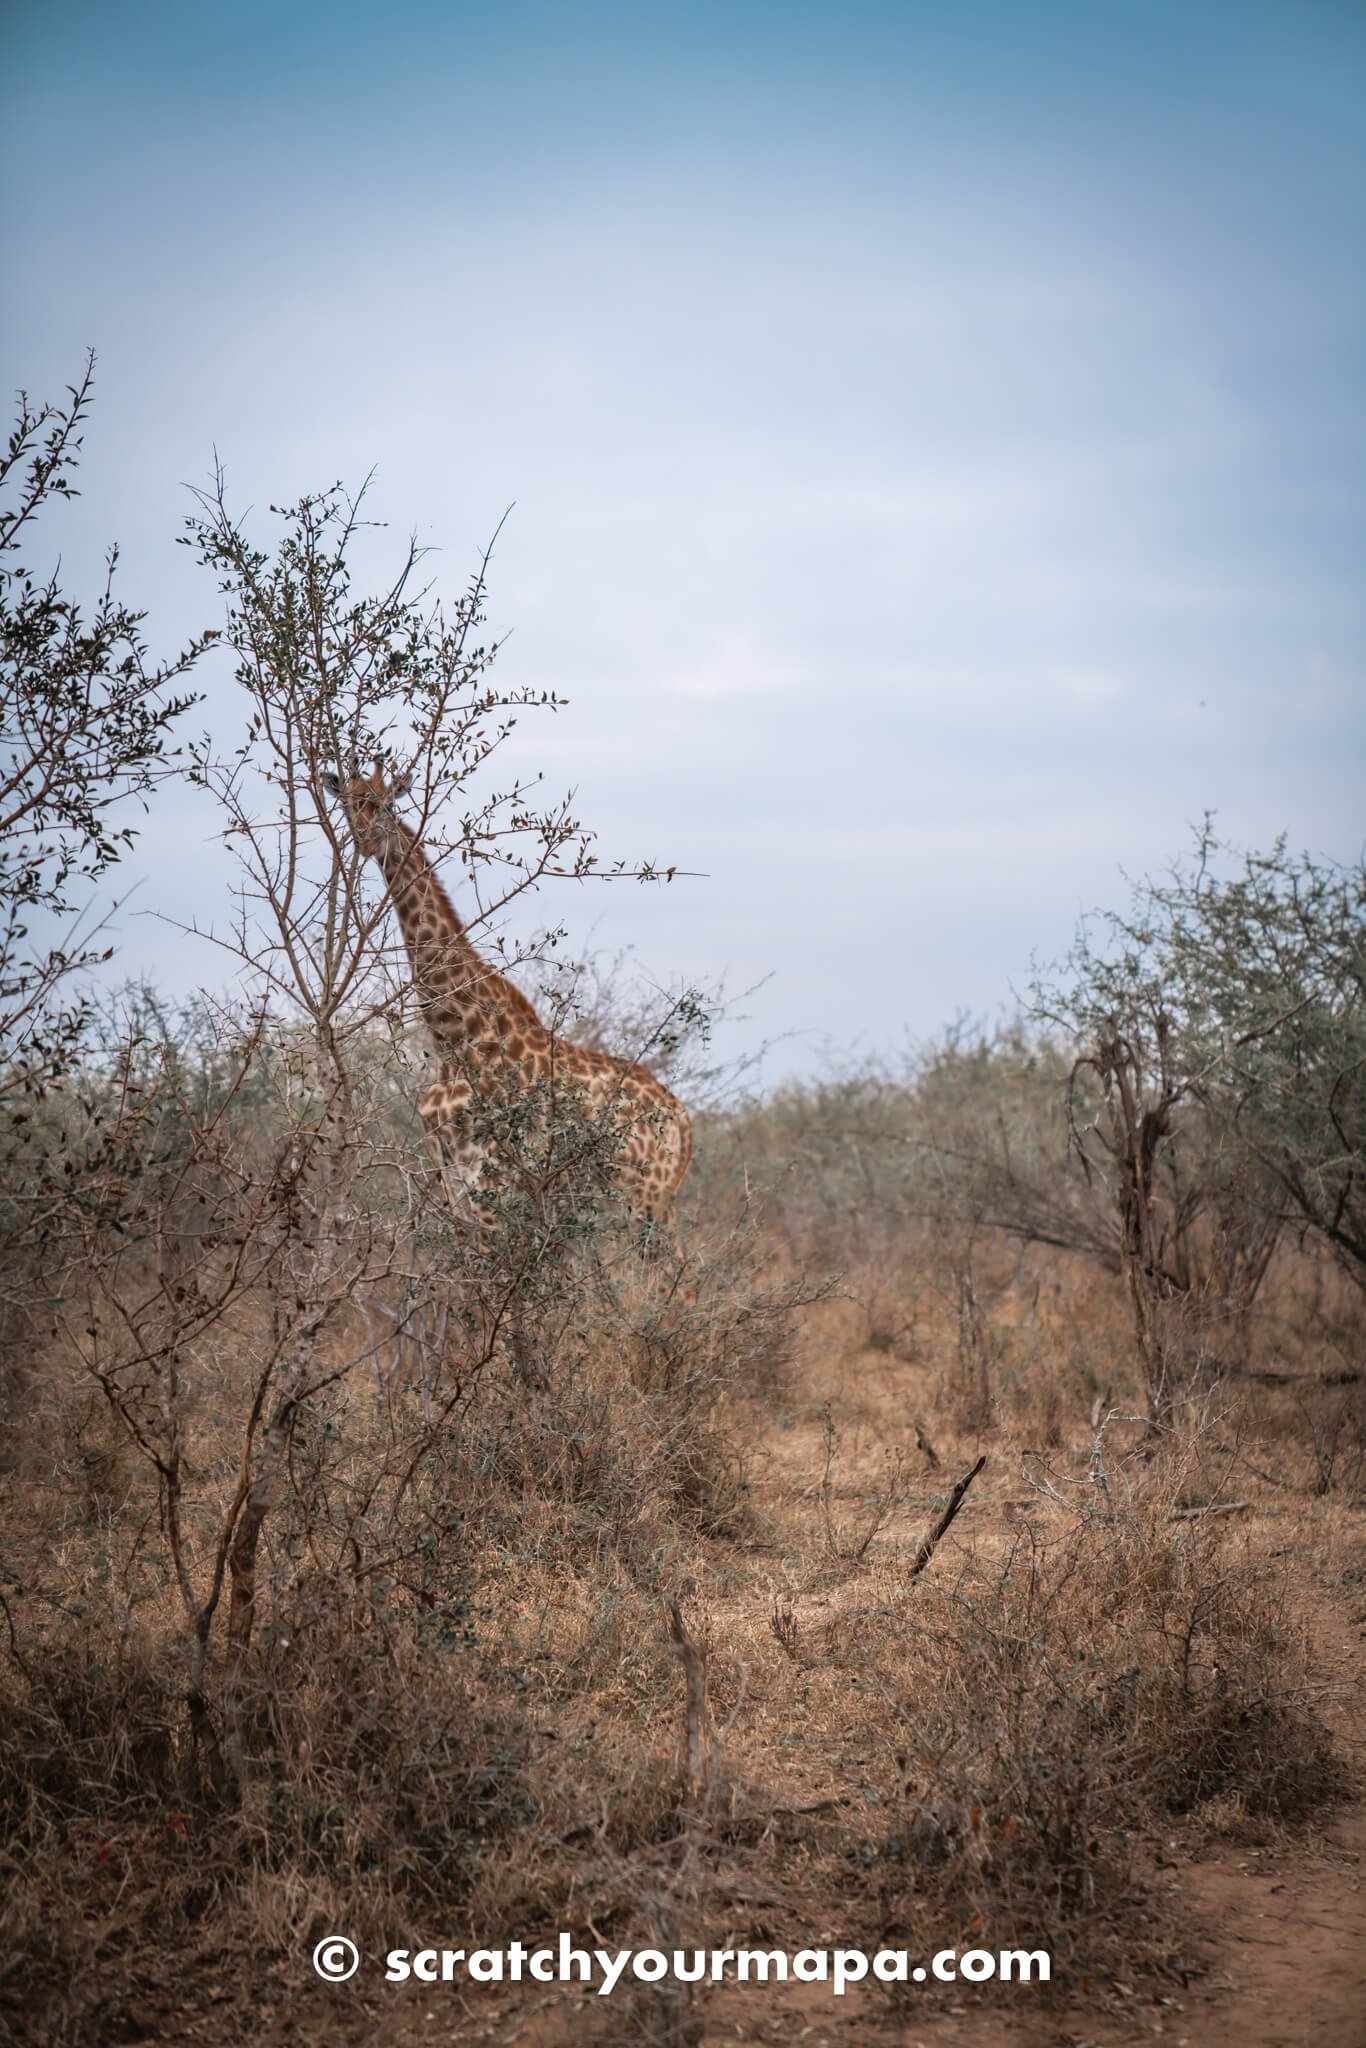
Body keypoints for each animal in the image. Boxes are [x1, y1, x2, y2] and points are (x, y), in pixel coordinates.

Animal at [325, 757, 696, 1220]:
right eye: (347, 801)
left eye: (390, 802)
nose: (367, 838)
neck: (453, 1034)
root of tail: (683, 1119)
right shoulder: (448, 1169)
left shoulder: (489, 1173)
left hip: (643, 1193)